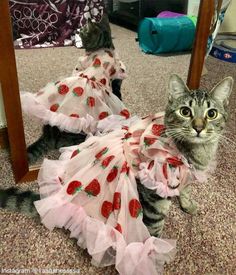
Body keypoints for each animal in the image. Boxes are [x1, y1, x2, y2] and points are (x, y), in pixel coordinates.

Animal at [0, 74, 233, 238]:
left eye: (211, 114)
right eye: (185, 112)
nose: (198, 128)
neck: (195, 153)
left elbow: (185, 189)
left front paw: (187, 202)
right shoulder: (153, 194)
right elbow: (155, 226)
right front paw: (153, 254)